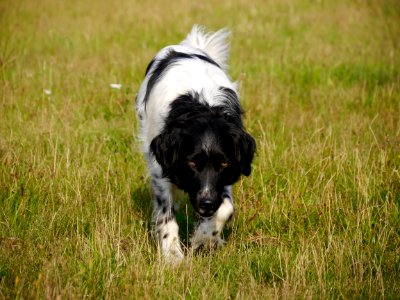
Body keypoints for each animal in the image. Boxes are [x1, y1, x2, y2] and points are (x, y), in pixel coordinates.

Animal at [136, 24, 256, 262]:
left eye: (224, 163)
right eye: (192, 163)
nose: (206, 204)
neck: (202, 107)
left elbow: (226, 208)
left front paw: (204, 237)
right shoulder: (160, 168)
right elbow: (166, 216)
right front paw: (173, 256)